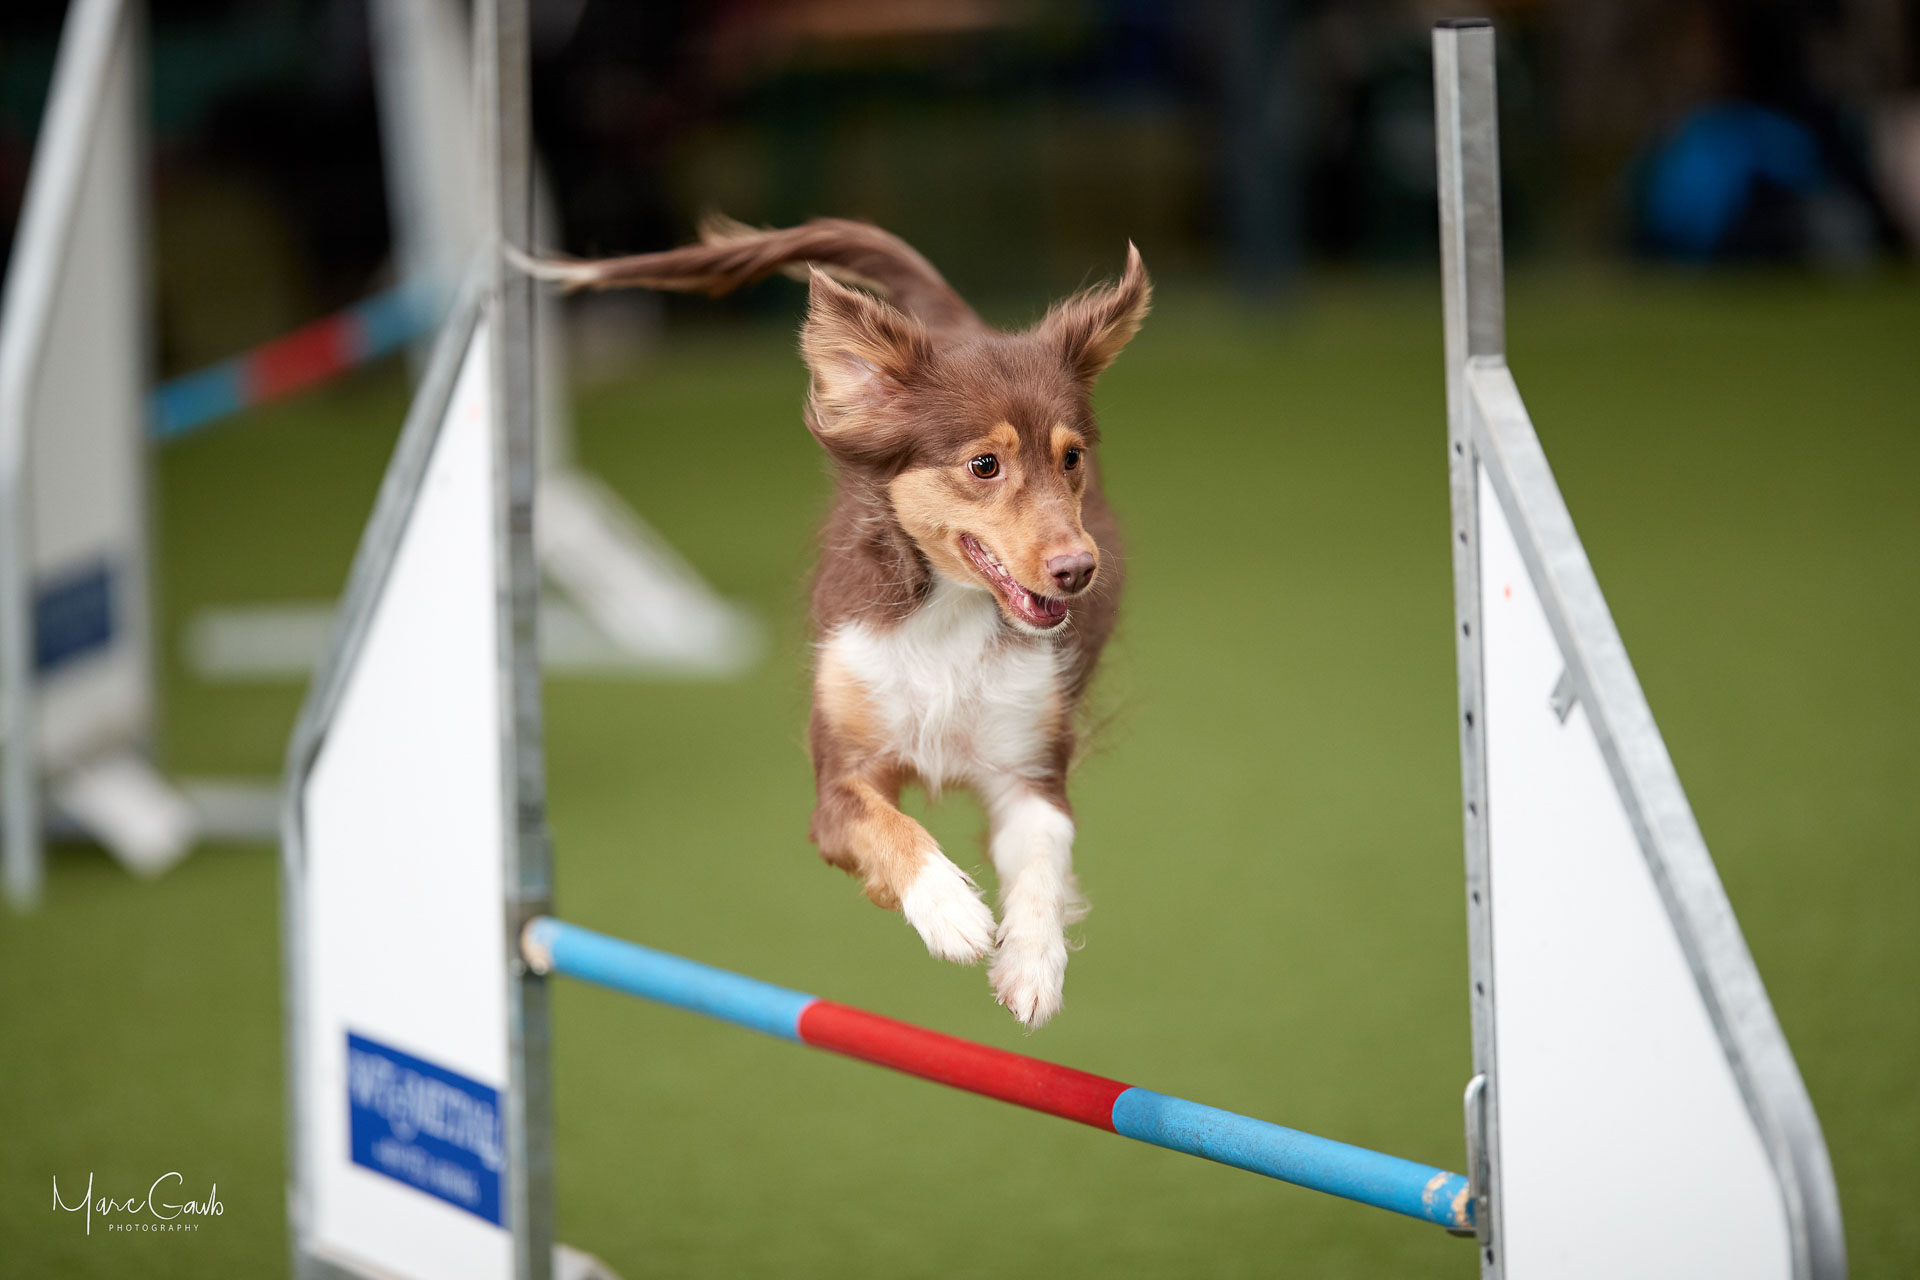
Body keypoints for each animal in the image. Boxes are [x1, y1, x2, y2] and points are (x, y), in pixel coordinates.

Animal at [524, 218, 1149, 1027]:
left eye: (1072, 459)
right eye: (984, 465)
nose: (1079, 569)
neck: (945, 617)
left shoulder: (1030, 773)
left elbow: (1043, 867)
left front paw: (1032, 967)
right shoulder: (840, 779)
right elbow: (889, 825)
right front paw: (950, 910)